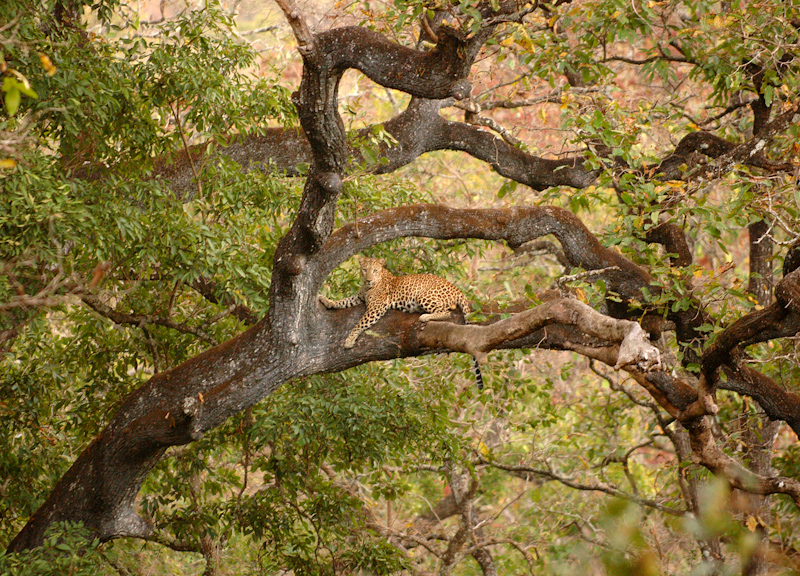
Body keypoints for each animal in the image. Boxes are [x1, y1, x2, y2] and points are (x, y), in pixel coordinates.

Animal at [318, 258, 482, 390]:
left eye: (375, 270)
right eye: (365, 270)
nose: (369, 280)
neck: (369, 286)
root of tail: (457, 289)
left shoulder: (376, 307)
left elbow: (360, 323)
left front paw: (349, 340)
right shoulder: (359, 297)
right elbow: (343, 301)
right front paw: (326, 300)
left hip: (423, 295)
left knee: (446, 311)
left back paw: (424, 316)